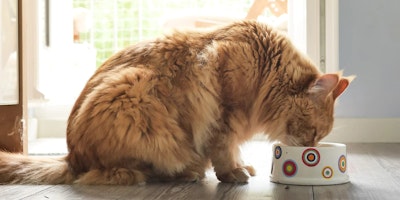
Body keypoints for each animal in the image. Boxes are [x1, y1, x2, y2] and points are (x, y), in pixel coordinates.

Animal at [0, 20, 352, 184]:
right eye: (314, 133)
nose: (311, 149)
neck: (265, 68)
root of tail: (72, 156)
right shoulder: (224, 113)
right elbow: (224, 150)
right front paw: (232, 173)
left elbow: (234, 149)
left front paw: (242, 165)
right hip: (134, 97)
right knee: (128, 171)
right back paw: (186, 173)